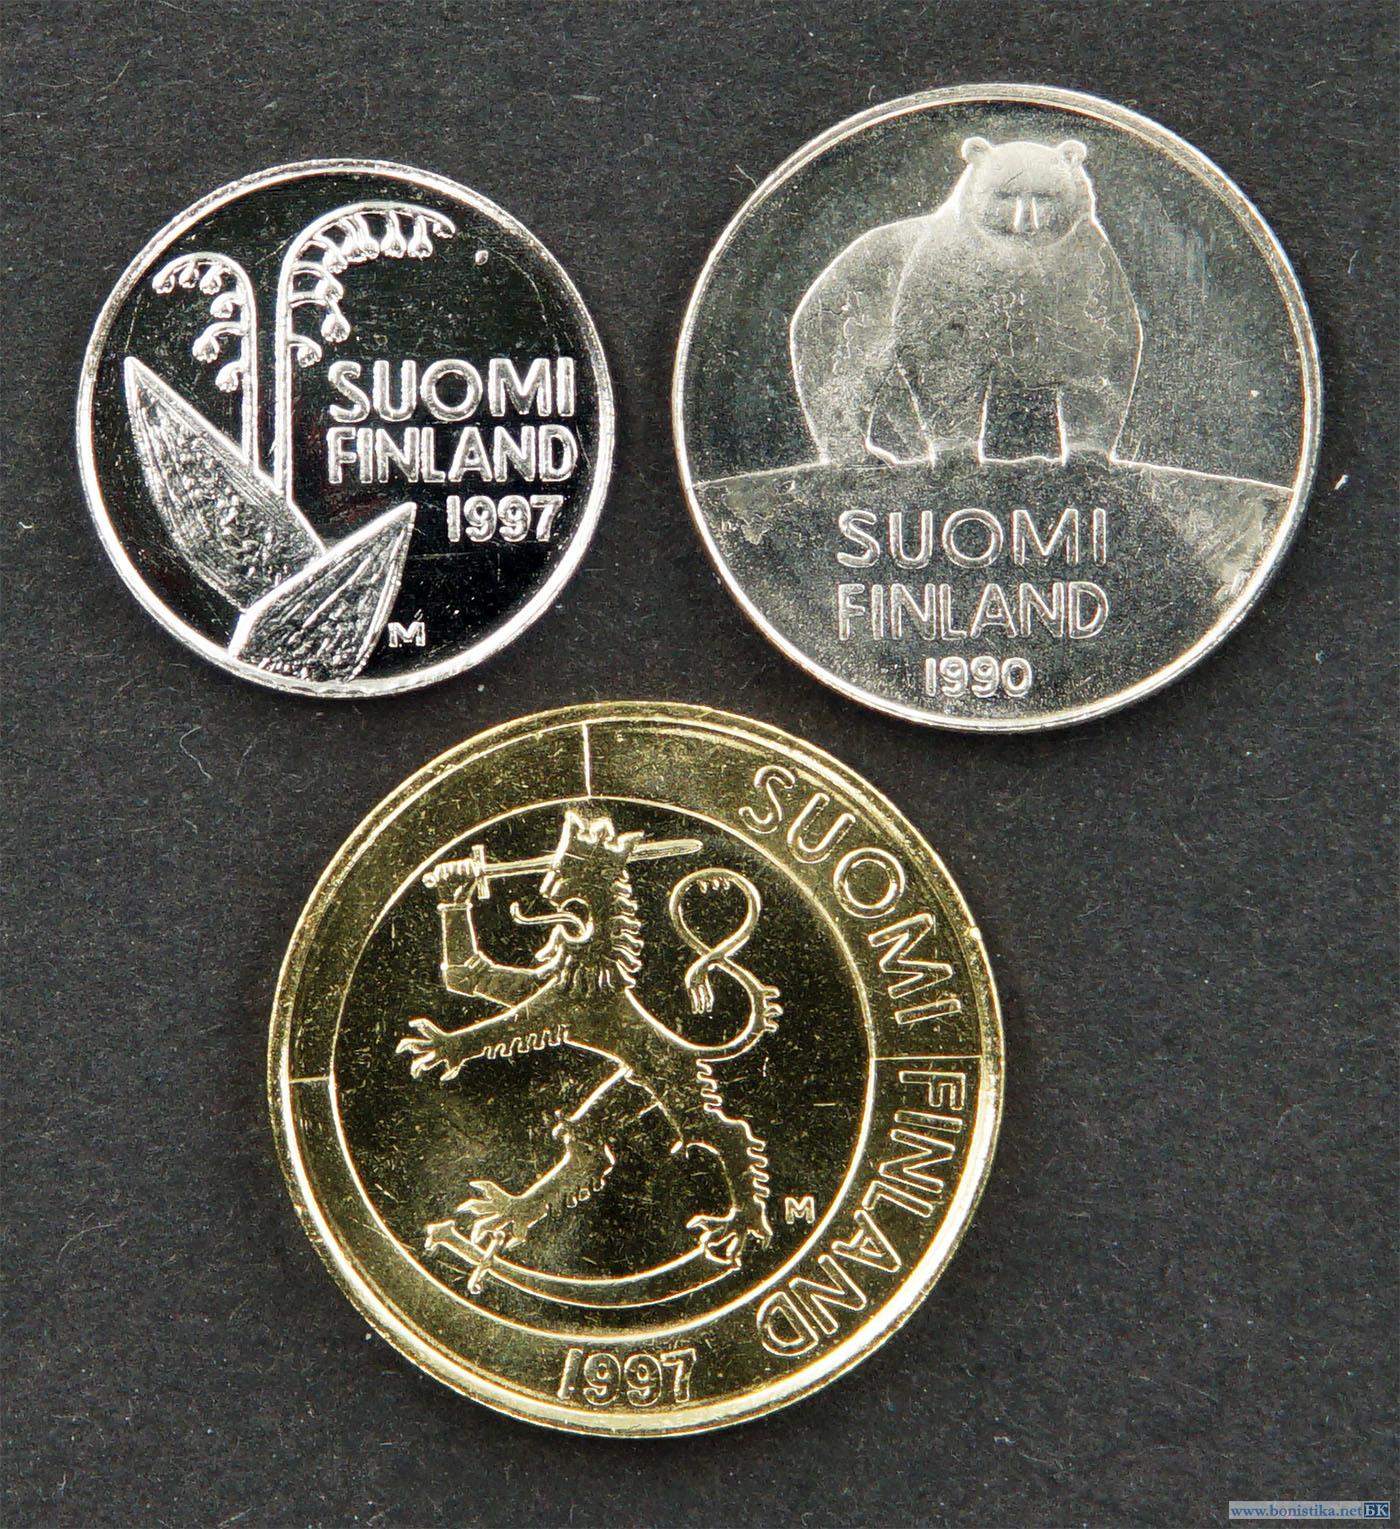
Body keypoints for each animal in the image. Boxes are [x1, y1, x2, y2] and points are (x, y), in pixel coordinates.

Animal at [789, 136, 1143, 467]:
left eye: (1045, 194)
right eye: (1003, 193)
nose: (1026, 222)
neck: (1022, 258)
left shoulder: (1083, 272)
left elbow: (1098, 356)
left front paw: (1088, 451)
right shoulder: (954, 277)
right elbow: (946, 361)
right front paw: (957, 449)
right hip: (856, 312)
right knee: (841, 380)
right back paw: (861, 455)